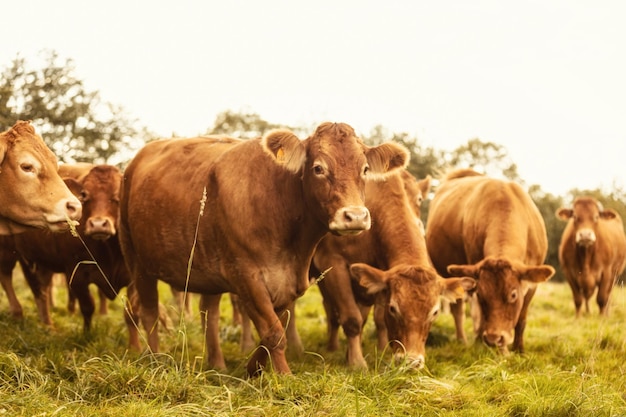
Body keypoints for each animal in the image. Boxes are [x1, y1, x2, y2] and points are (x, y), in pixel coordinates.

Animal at [119, 122, 410, 374]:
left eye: (364, 169)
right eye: (318, 168)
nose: (355, 216)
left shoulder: (289, 282)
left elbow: (274, 327)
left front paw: (253, 368)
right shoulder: (246, 276)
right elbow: (274, 333)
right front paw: (283, 378)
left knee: (209, 314)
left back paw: (217, 364)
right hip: (138, 263)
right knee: (149, 311)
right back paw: (155, 358)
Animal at [314, 169, 470, 368]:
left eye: (434, 312)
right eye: (393, 309)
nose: (412, 362)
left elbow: (371, 319)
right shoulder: (333, 264)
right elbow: (352, 319)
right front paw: (356, 362)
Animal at [424, 167, 552, 352]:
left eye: (513, 295)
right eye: (482, 295)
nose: (493, 338)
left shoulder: (532, 284)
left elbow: (521, 319)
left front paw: (519, 349)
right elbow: (481, 315)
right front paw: (498, 349)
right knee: (459, 310)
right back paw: (464, 340)